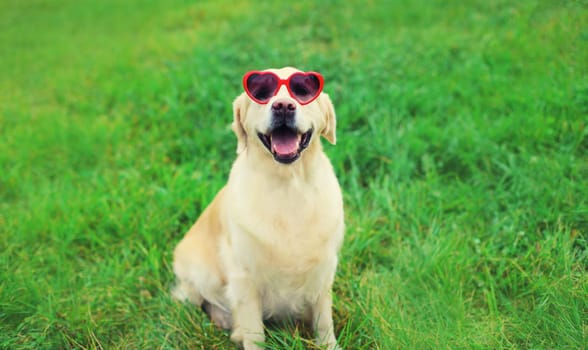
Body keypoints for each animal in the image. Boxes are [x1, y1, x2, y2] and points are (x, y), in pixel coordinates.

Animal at [172, 67, 342, 348]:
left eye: (302, 91)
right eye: (261, 93)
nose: (283, 106)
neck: (288, 186)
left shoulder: (323, 268)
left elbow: (324, 320)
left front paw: (329, 344)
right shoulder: (244, 277)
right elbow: (254, 332)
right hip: (196, 269)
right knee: (197, 298)